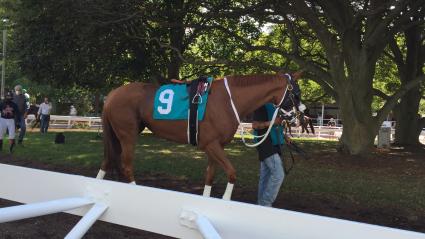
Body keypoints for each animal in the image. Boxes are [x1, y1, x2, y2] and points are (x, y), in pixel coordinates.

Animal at [97, 74, 292, 200]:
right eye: (294, 94)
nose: (295, 117)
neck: (228, 100)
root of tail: (112, 95)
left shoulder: (215, 146)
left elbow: (210, 176)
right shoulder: (211, 145)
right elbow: (231, 173)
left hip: (119, 136)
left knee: (107, 161)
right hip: (127, 136)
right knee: (127, 166)